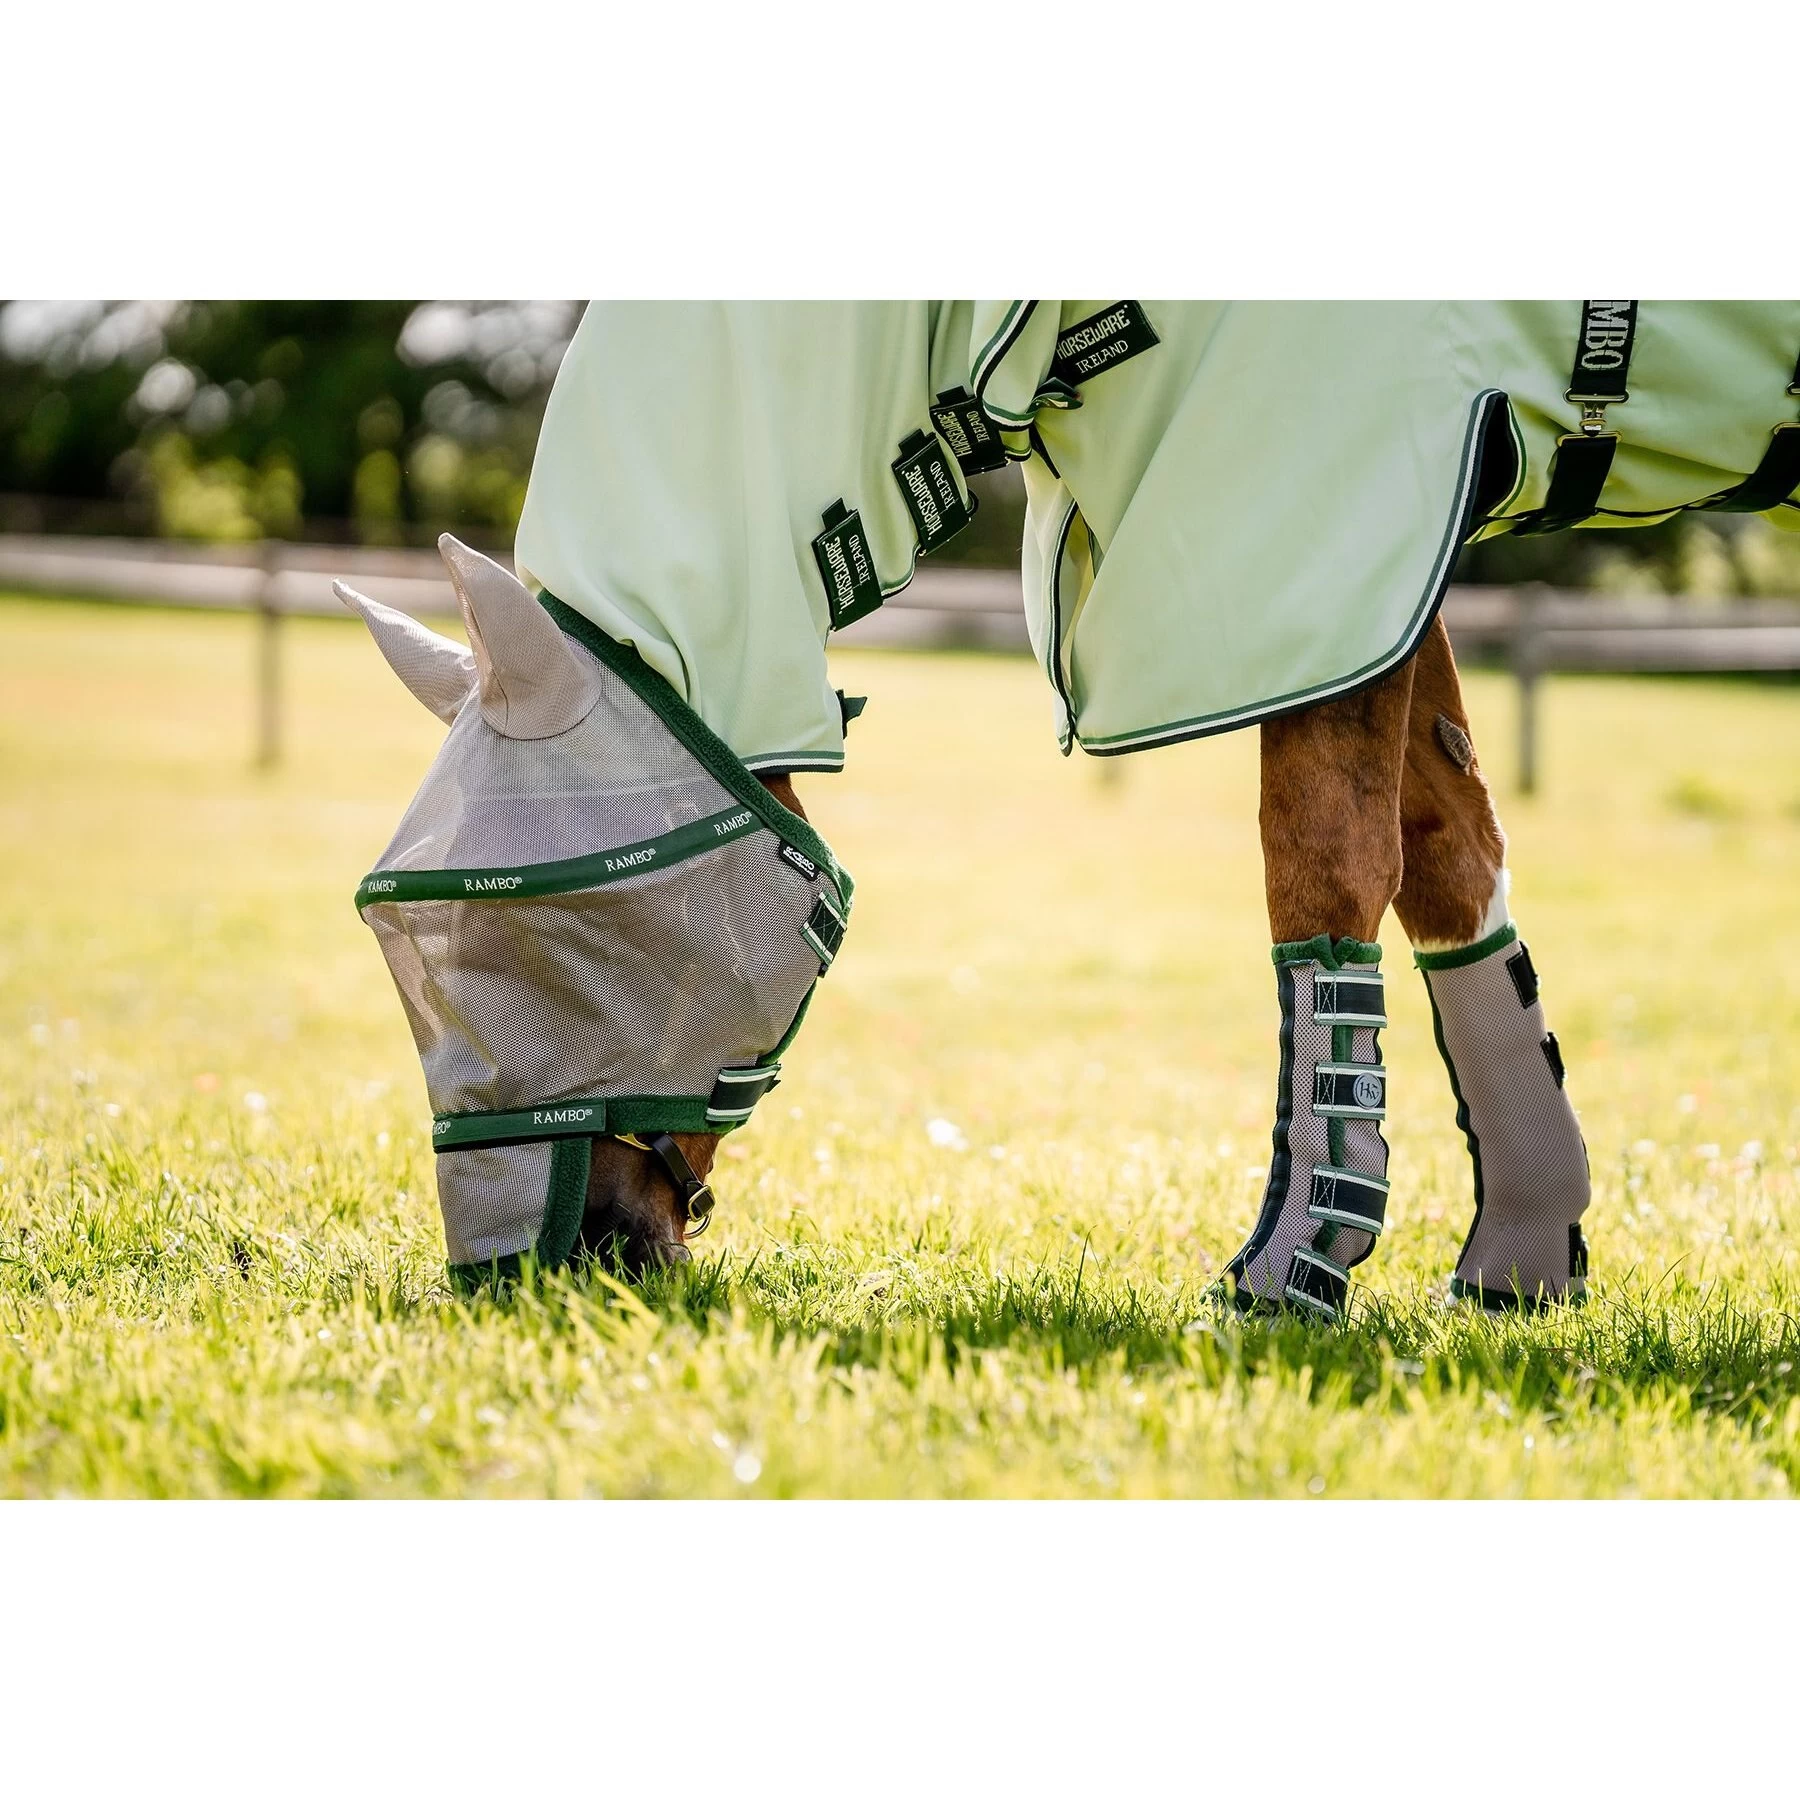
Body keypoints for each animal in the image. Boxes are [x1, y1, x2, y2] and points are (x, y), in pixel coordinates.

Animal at [338, 300, 1800, 1319]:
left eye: (565, 926)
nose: (531, 1268)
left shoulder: (1323, 546)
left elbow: (1326, 872)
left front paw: (1291, 1278)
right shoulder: (1388, 571)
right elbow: (1452, 861)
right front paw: (1522, 1259)